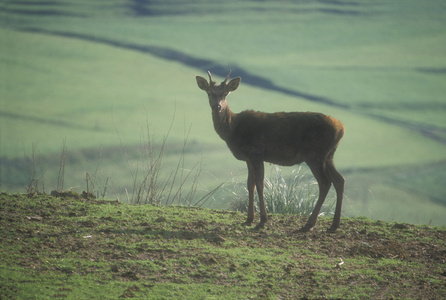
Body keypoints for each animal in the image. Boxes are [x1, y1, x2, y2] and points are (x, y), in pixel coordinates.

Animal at [195, 71, 344, 233]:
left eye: (225, 94)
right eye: (209, 93)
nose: (217, 106)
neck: (232, 130)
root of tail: (341, 128)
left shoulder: (257, 153)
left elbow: (260, 185)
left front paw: (262, 221)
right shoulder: (248, 158)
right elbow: (250, 185)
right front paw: (249, 219)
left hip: (314, 153)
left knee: (325, 182)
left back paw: (309, 224)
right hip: (328, 155)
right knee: (339, 180)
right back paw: (334, 225)